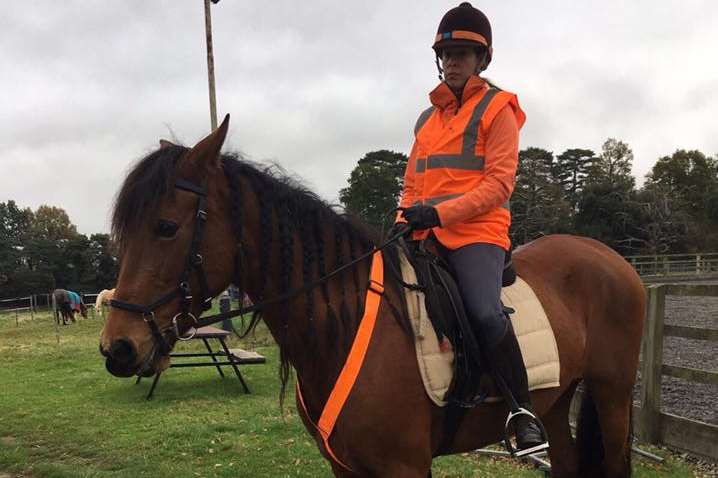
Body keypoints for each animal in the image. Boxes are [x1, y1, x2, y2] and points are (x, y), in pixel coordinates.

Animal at [100, 116, 648, 478]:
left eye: (166, 227)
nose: (118, 348)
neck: (342, 322)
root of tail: (612, 258)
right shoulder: (346, 467)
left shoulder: (403, 467)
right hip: (558, 399)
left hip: (612, 394)